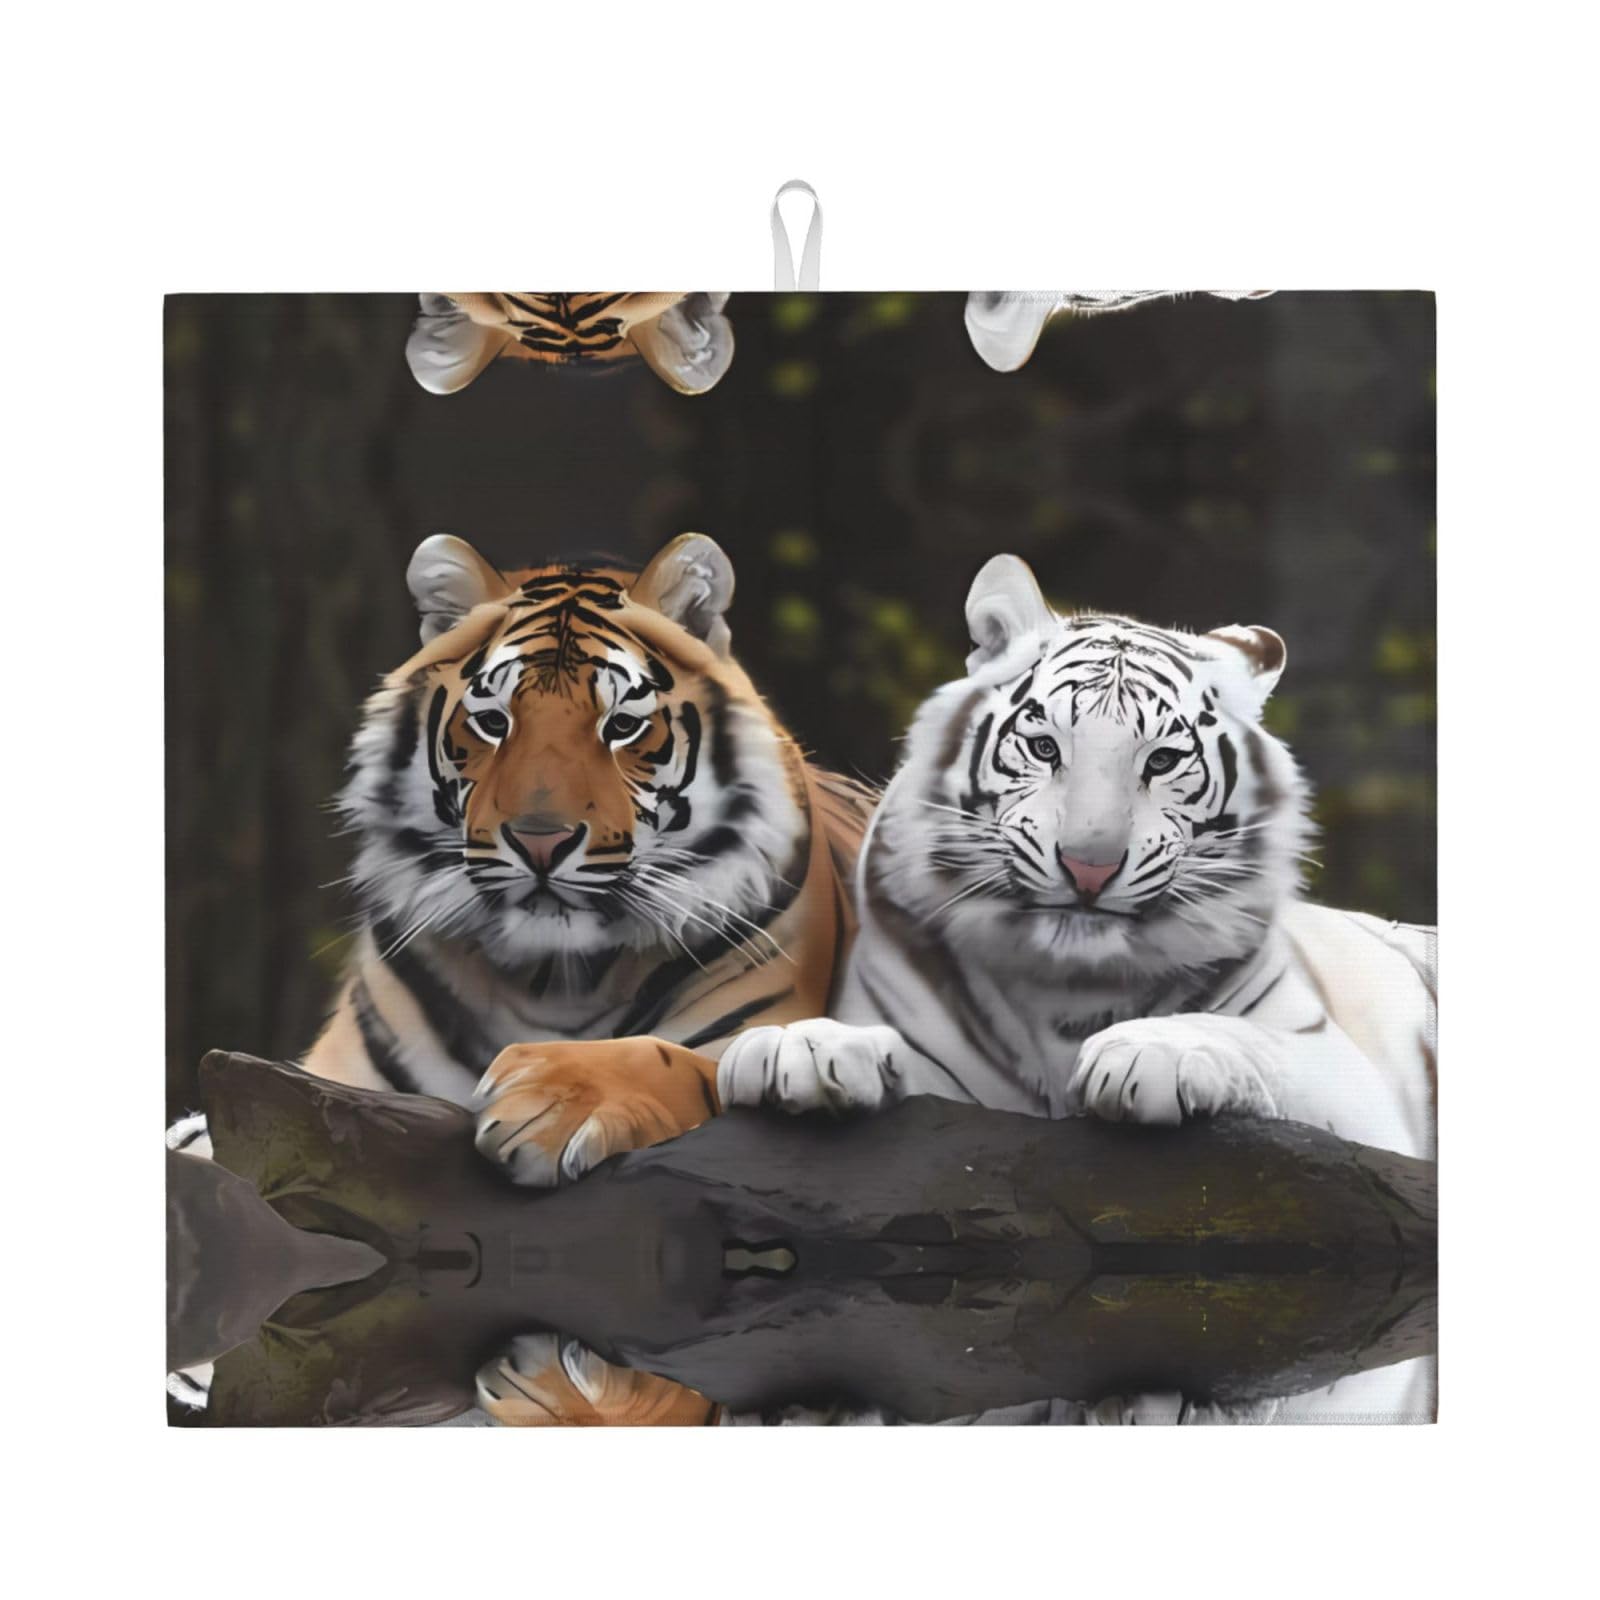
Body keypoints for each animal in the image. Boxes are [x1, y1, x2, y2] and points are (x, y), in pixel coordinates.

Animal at [169, 529, 872, 1426]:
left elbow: (677, 1062)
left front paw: (548, 1108)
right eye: (493, 722)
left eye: (623, 725)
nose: (540, 840)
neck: (554, 977)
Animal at [718, 552, 1437, 1423]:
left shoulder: (1357, 1093)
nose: (1089, 867)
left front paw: (1149, 1058)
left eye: (1161, 761)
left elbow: (1240, 1036)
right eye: (1042, 746)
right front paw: (796, 1051)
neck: (1068, 986)